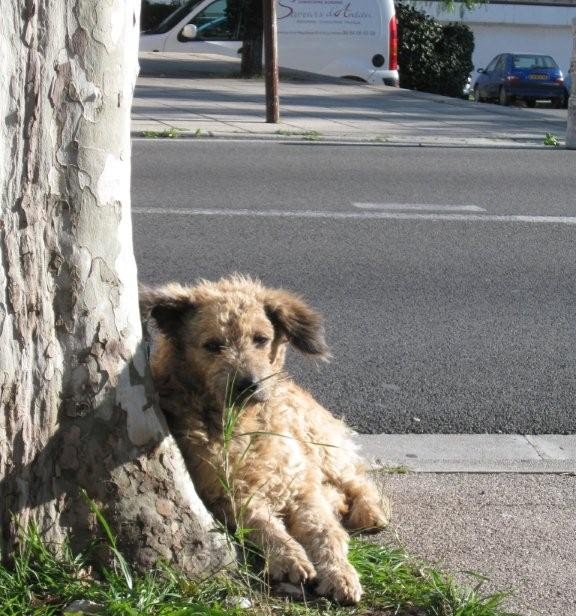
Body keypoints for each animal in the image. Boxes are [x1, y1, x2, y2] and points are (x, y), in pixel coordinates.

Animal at [141, 276, 392, 604]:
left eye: (261, 339)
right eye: (213, 345)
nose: (249, 384)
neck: (243, 422)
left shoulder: (300, 486)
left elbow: (326, 532)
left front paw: (340, 572)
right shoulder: (229, 494)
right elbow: (265, 524)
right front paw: (289, 558)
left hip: (320, 445)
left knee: (358, 480)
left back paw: (370, 511)